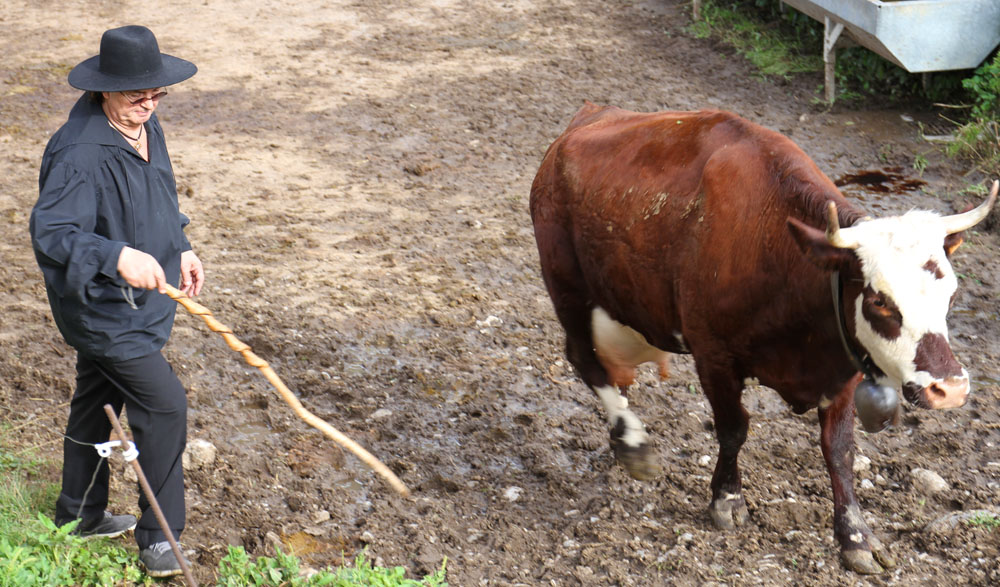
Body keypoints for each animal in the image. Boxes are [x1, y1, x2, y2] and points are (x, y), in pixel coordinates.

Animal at [529, 102, 997, 574]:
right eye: (879, 300)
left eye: (952, 292)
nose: (950, 389)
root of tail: (590, 116)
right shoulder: (713, 355)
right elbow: (733, 429)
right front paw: (727, 499)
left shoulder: (842, 365)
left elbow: (840, 450)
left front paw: (855, 536)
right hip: (566, 284)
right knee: (584, 359)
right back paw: (633, 443)